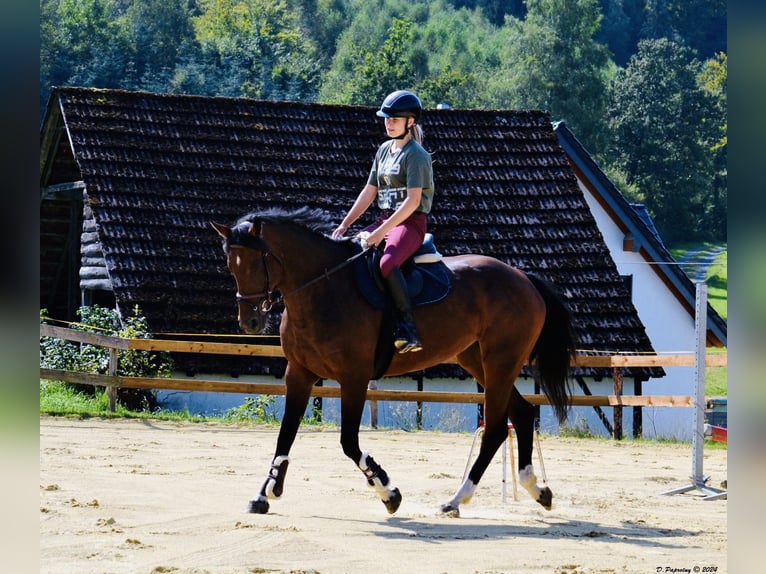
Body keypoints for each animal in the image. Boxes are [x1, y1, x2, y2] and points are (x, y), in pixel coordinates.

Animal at [210, 206, 576, 516]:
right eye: (231, 266)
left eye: (256, 263)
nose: (250, 322)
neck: (324, 289)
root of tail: (522, 277)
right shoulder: (298, 374)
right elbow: (285, 434)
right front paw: (264, 493)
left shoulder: (354, 377)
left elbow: (348, 442)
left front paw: (388, 492)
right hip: (478, 361)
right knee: (523, 414)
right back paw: (536, 489)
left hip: (500, 361)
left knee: (497, 428)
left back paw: (457, 498)